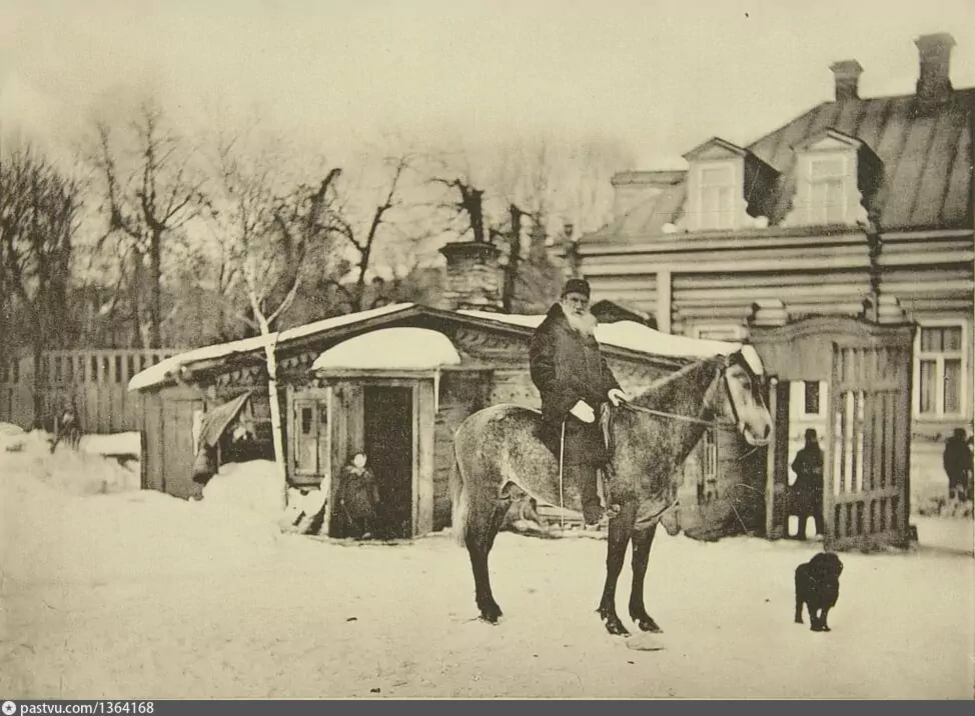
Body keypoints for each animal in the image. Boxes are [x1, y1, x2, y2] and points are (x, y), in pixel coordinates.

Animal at [446, 352, 772, 636]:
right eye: (744, 383)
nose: (765, 430)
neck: (650, 432)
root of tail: (468, 424)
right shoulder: (623, 514)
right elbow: (614, 563)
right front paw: (612, 620)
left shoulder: (647, 520)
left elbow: (640, 566)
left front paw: (642, 617)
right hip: (484, 497)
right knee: (477, 544)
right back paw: (488, 610)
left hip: (503, 499)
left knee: (484, 546)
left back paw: (489, 607)